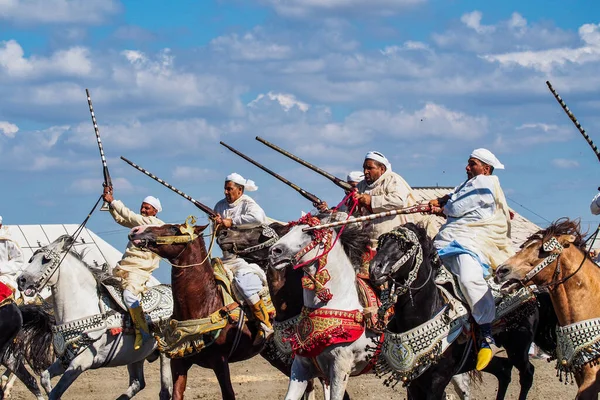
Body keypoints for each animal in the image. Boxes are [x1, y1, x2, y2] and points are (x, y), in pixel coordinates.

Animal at [17, 236, 172, 400]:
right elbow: (45, 378)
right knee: (138, 383)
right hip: (136, 356)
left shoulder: (80, 363)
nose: (21, 280)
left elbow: (55, 392)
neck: (83, 309)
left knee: (164, 390)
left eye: (46, 260)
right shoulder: (66, 358)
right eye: (31, 259)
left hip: (165, 353)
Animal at [131, 222, 272, 400]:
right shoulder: (179, 361)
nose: (136, 231)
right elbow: (176, 393)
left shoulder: (220, 361)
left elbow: (228, 393)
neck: (205, 305)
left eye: (174, 229)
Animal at [370, 223, 556, 400]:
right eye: (380, 244)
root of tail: (531, 292)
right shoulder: (413, 381)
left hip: (518, 348)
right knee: (503, 370)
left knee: (527, 374)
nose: (375, 269)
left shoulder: (437, 381)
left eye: (405, 245)